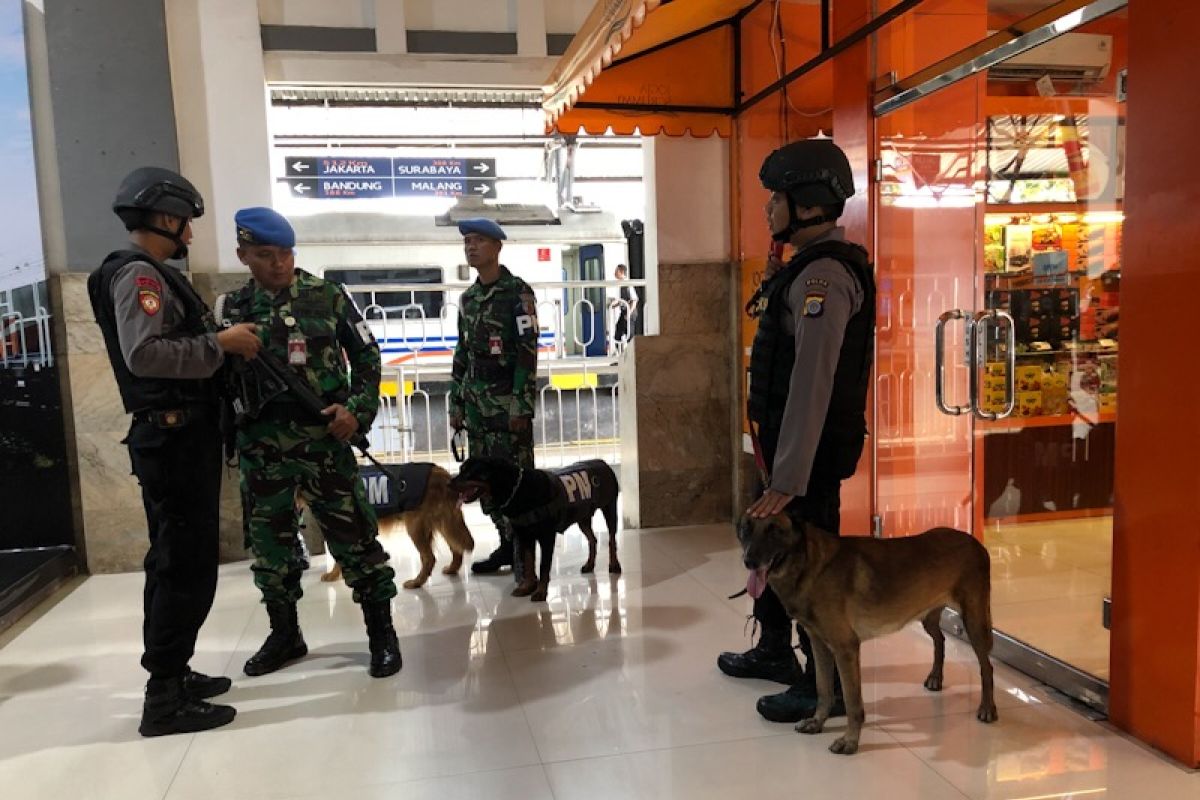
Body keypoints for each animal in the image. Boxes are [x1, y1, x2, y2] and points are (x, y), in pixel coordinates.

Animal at [321, 465, 475, 592]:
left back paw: (416, 582)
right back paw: (451, 569)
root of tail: (443, 474)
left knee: (429, 557)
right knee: (456, 548)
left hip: (416, 526)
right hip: (443, 523)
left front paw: (334, 574)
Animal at [448, 455, 619, 599]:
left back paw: (614, 564)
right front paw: (527, 586)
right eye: (461, 469)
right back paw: (590, 564)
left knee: (611, 539)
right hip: (582, 516)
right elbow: (529, 562)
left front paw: (541, 592)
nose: (449, 483)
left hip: (610, 508)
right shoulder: (524, 535)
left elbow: (543, 566)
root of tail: (603, 462)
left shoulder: (547, 537)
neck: (517, 490)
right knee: (592, 539)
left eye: (470, 472)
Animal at [734, 513, 998, 758]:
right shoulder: (819, 645)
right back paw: (935, 677)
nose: (749, 561)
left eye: (774, 530)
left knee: (986, 667)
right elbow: (823, 689)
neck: (808, 566)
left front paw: (850, 741)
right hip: (928, 616)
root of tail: (975, 542)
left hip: (974, 622)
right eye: (746, 529)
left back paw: (987, 708)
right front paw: (818, 722)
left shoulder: (846, 648)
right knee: (940, 640)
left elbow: (852, 703)